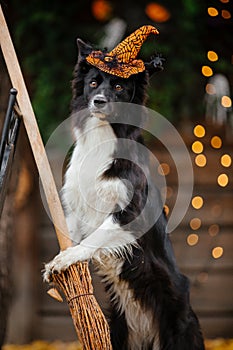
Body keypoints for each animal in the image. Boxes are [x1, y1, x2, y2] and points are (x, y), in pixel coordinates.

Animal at [43, 38, 204, 350]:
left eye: (118, 87)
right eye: (93, 83)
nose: (99, 101)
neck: (103, 134)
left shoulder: (131, 211)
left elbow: (93, 239)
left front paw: (66, 259)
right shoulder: (76, 204)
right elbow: (72, 233)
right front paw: (62, 262)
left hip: (178, 327)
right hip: (119, 328)